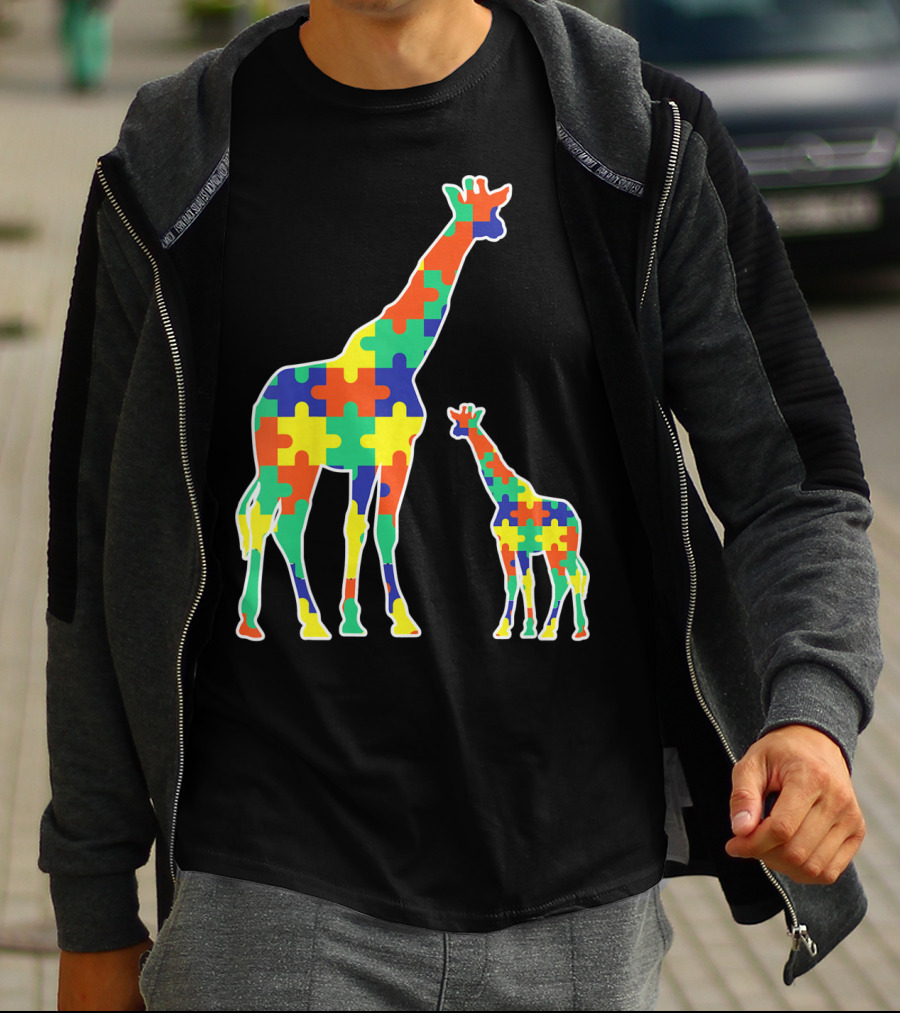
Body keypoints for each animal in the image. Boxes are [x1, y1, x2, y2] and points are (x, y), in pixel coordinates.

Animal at [236, 176, 512, 641]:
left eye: (493, 208)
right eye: (476, 210)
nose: (499, 228)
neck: (405, 357)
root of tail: (261, 400)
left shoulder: (381, 456)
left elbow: (369, 526)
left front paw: (366, 618)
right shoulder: (383, 452)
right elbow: (371, 526)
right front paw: (383, 618)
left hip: (297, 465)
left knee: (283, 523)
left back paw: (309, 620)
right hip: (283, 461)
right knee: (265, 519)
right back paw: (259, 622)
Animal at [447, 404, 590, 642]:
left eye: (468, 421)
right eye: (457, 420)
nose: (454, 431)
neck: (501, 496)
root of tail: (575, 517)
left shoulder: (516, 545)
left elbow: (522, 581)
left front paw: (518, 628)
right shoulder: (508, 545)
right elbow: (517, 581)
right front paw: (519, 628)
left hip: (561, 549)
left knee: (570, 578)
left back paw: (569, 630)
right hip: (560, 550)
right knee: (567, 579)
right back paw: (558, 629)